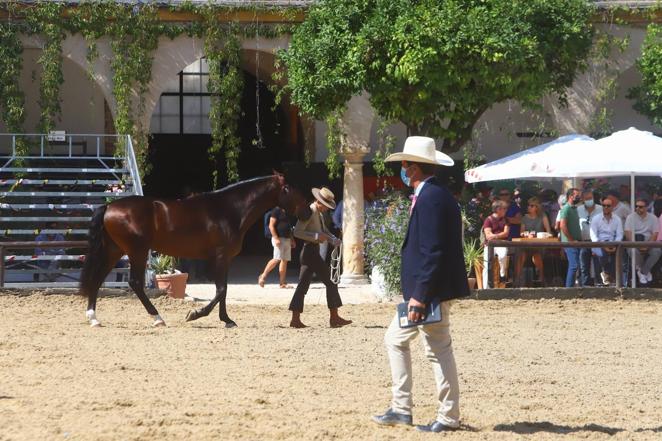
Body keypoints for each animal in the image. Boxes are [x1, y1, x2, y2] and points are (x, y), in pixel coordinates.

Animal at [80, 173, 306, 326]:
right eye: (288, 188)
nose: (305, 210)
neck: (229, 210)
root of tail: (110, 207)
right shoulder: (220, 257)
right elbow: (220, 290)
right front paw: (195, 314)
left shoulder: (225, 259)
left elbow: (223, 290)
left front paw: (227, 320)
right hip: (137, 251)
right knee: (135, 283)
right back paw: (158, 318)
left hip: (114, 251)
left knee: (97, 279)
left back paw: (93, 318)